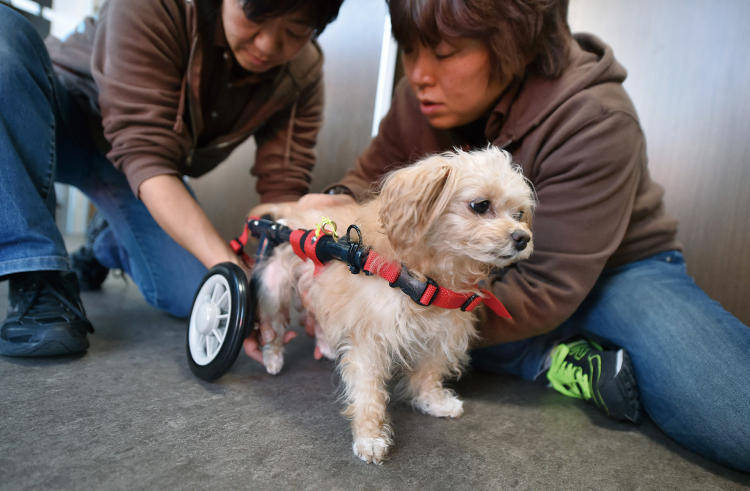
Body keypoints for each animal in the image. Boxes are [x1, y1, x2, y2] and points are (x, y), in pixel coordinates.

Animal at [256, 147, 536, 466]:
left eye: (519, 214)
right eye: (480, 205)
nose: (523, 237)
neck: (428, 280)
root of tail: (285, 219)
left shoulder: (441, 332)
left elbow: (429, 373)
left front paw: (433, 401)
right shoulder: (370, 342)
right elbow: (368, 393)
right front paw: (370, 438)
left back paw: (326, 344)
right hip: (274, 287)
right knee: (273, 328)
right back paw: (273, 358)